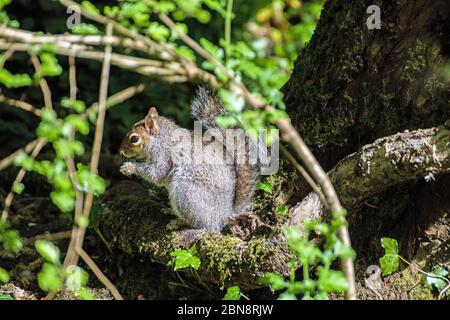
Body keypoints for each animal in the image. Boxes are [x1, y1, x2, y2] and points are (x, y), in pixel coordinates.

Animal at [119, 87, 258, 231]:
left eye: (134, 138)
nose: (120, 151)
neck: (161, 139)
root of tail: (223, 215)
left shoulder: (164, 155)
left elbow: (155, 173)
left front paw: (129, 167)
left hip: (186, 193)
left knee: (200, 223)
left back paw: (177, 222)